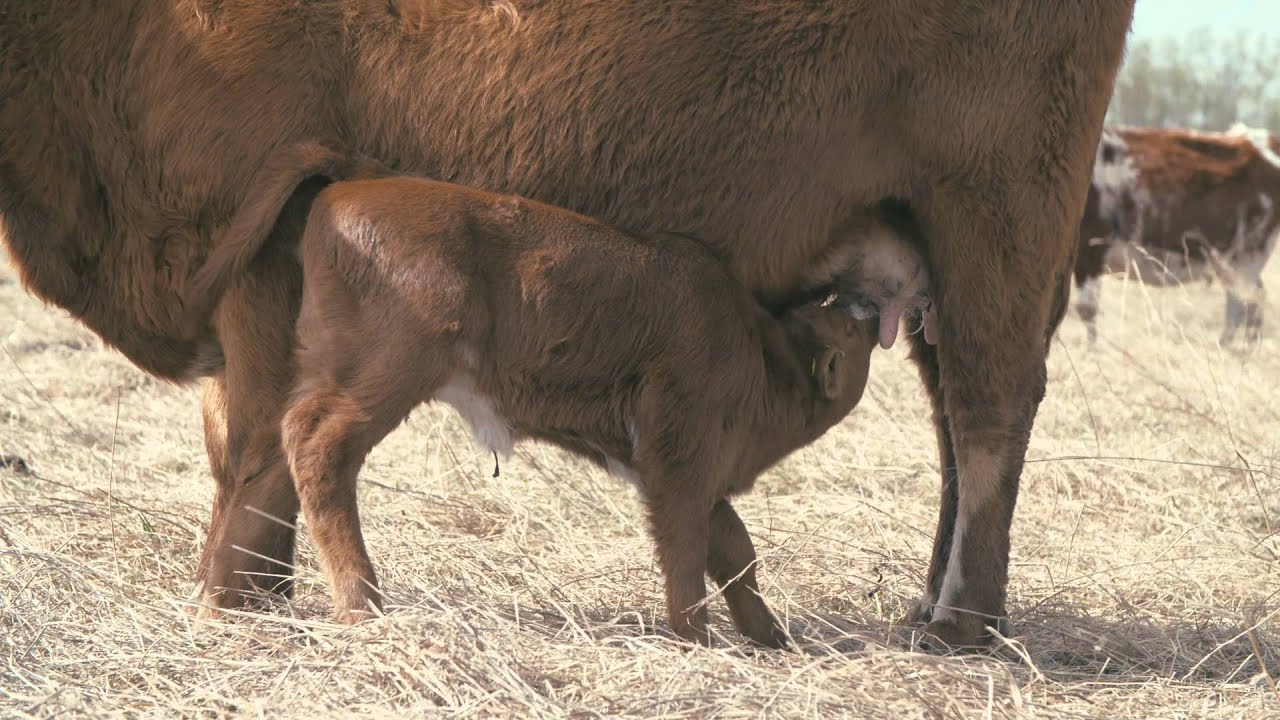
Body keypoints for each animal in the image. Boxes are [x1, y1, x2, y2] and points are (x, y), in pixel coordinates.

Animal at [0, 1, 1135, 650]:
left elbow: (246, 443)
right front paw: (256, 594)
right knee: (954, 410)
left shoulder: (250, 238)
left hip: (993, 220)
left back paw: (958, 624)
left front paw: (231, 595)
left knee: (985, 407)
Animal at [1074, 124, 1280, 345]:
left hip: (1246, 255)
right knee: (1244, 303)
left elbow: (1087, 308)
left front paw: (1090, 351)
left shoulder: (1091, 243)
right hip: (1233, 261)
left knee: (1248, 301)